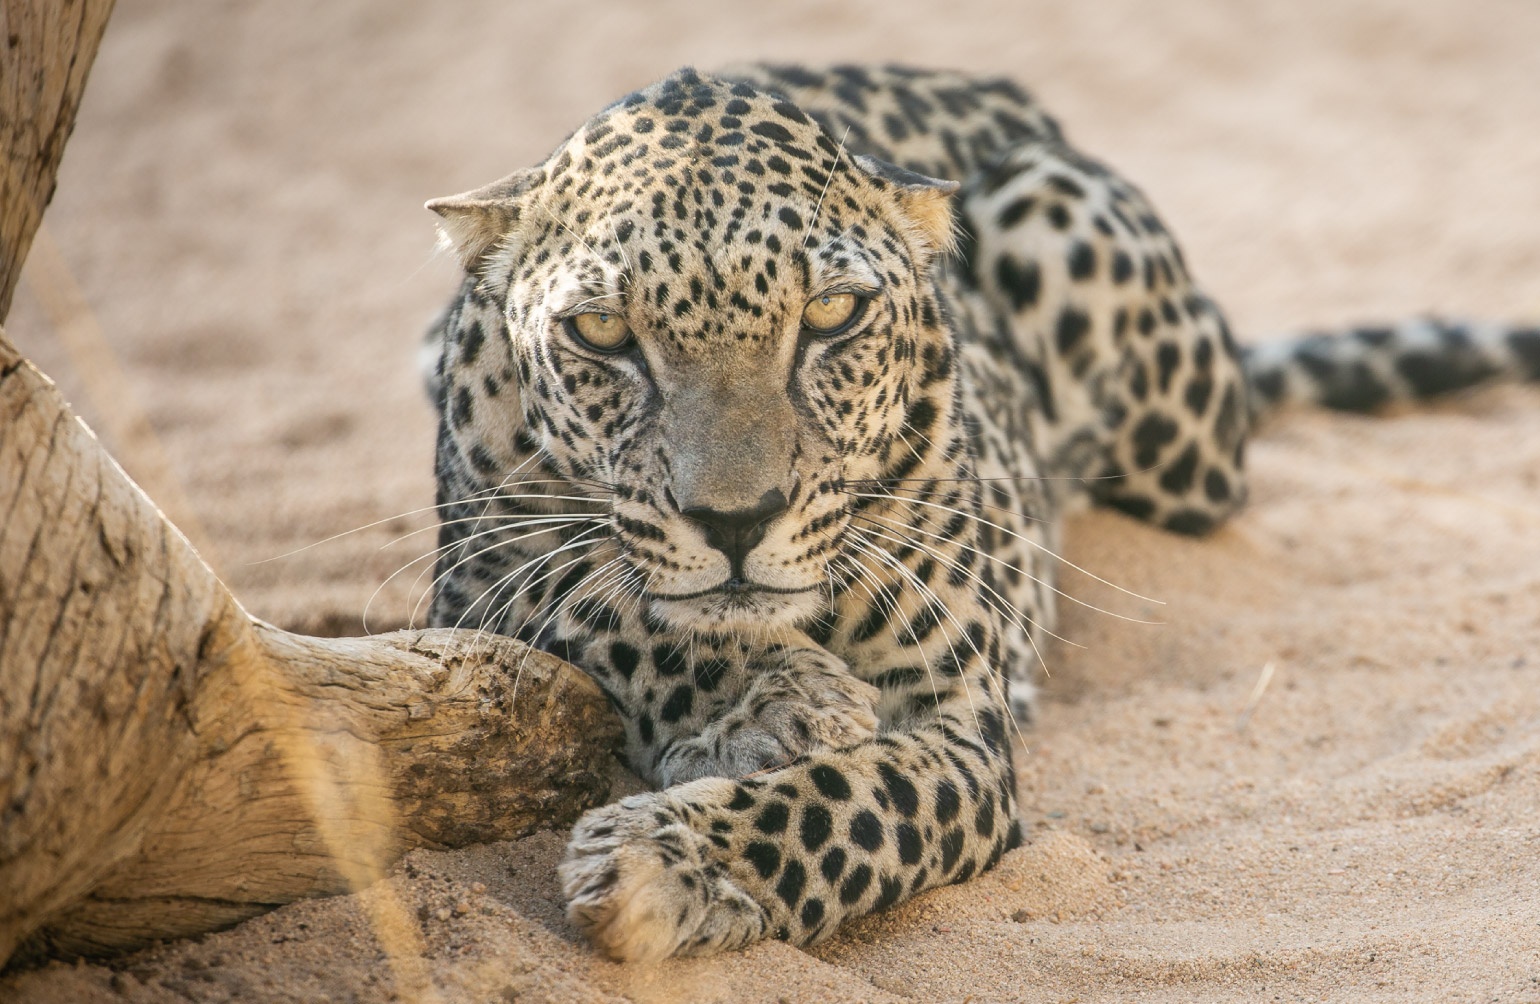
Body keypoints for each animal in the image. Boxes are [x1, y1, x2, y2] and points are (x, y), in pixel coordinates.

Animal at [419, 64, 1540, 961]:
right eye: (602, 333)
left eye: (832, 315)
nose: (736, 521)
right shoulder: (473, 581)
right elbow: (608, 602)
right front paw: (775, 704)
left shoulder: (958, 727)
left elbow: (849, 807)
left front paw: (667, 863)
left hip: (1133, 350)